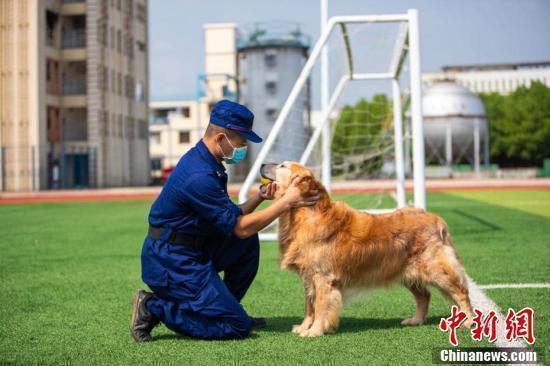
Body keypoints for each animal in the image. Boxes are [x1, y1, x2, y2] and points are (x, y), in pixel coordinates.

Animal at [268, 162, 474, 336]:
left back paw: (468, 321)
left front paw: (314, 331)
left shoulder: (322, 277)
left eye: (282, 166)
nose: (263, 165)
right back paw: (416, 320)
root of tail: (436, 219)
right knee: (424, 295)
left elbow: (319, 306)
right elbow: (309, 305)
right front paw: (304, 327)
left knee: (462, 292)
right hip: (408, 272)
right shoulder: (308, 277)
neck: (305, 214)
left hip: (436, 270)